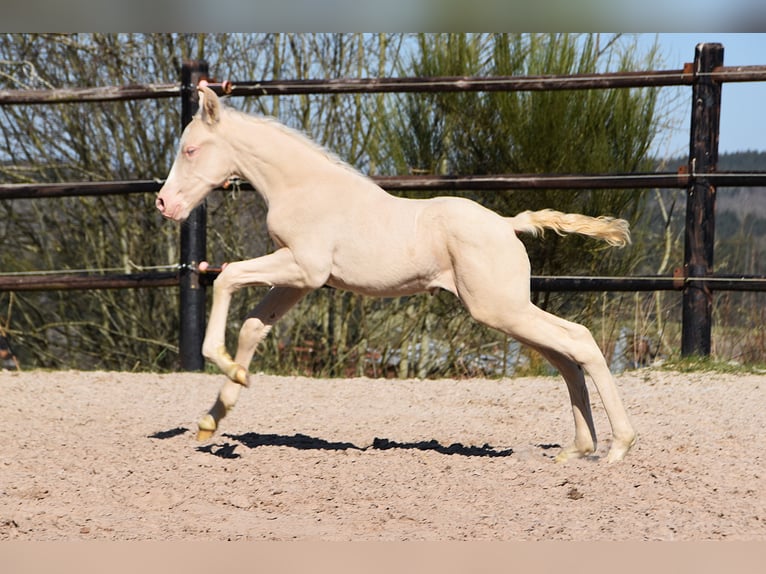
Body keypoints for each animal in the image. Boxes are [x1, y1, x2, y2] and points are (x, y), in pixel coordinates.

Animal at [156, 82, 636, 463]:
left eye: (190, 149)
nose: (165, 203)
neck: (303, 186)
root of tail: (507, 224)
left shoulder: (304, 267)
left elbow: (226, 277)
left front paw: (223, 367)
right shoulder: (300, 280)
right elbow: (254, 327)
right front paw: (213, 416)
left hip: (500, 309)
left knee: (579, 341)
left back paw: (617, 448)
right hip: (509, 311)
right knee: (566, 358)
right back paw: (577, 449)